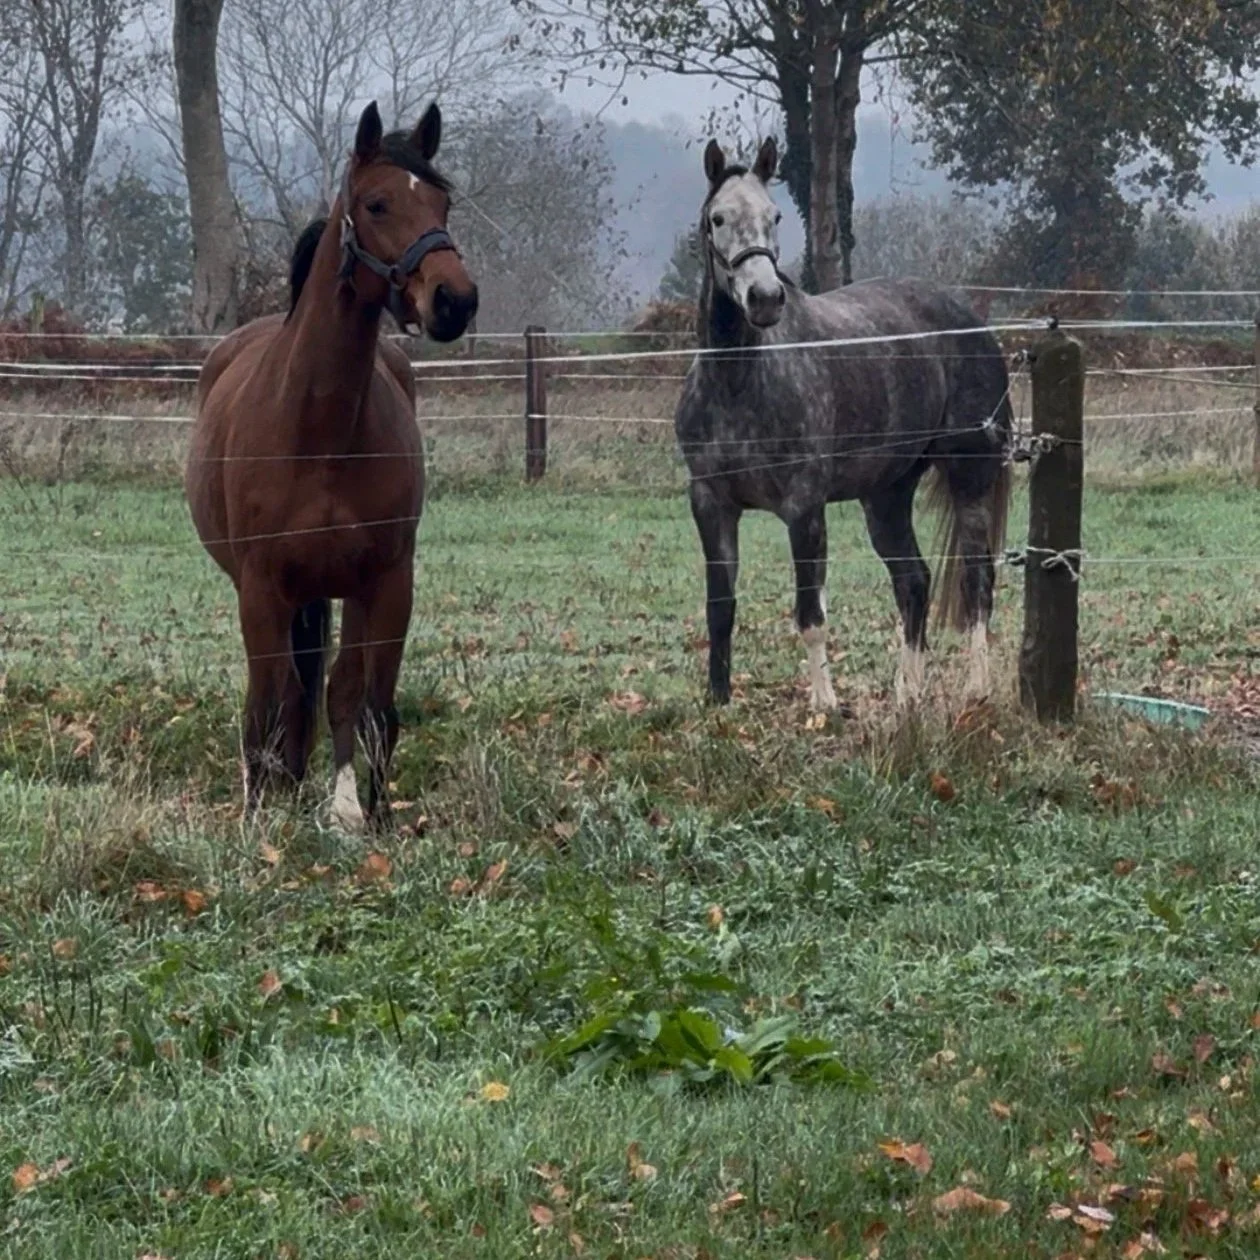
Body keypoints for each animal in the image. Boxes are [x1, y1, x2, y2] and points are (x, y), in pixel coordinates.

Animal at [185, 101, 478, 830]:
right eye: (376, 204)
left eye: (443, 201)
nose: (455, 300)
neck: (318, 431)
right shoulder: (261, 590)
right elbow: (267, 703)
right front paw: (255, 820)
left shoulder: (387, 582)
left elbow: (365, 701)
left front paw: (361, 814)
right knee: (285, 692)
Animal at [675, 137, 1012, 711]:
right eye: (717, 218)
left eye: (775, 215)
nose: (765, 299)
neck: (739, 382)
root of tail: (975, 325)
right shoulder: (710, 504)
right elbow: (720, 609)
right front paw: (718, 700)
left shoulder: (804, 509)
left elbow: (811, 615)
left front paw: (825, 704)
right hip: (886, 495)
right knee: (914, 581)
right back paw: (907, 694)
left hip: (969, 478)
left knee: (977, 581)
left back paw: (976, 687)